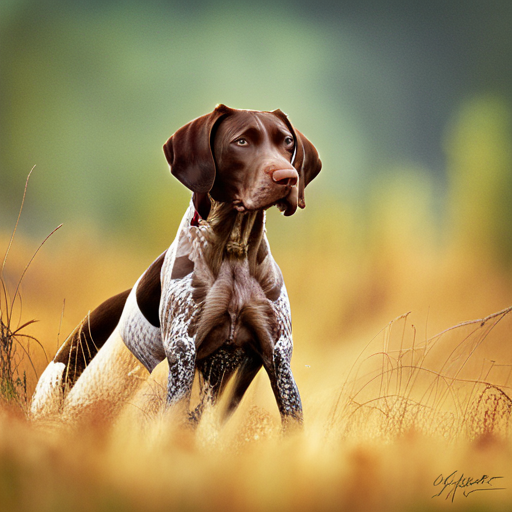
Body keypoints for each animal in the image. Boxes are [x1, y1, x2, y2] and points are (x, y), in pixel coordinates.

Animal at [31, 105, 320, 428]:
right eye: (241, 142)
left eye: (287, 142)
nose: (288, 177)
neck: (233, 249)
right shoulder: (183, 349)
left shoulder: (278, 354)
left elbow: (291, 416)